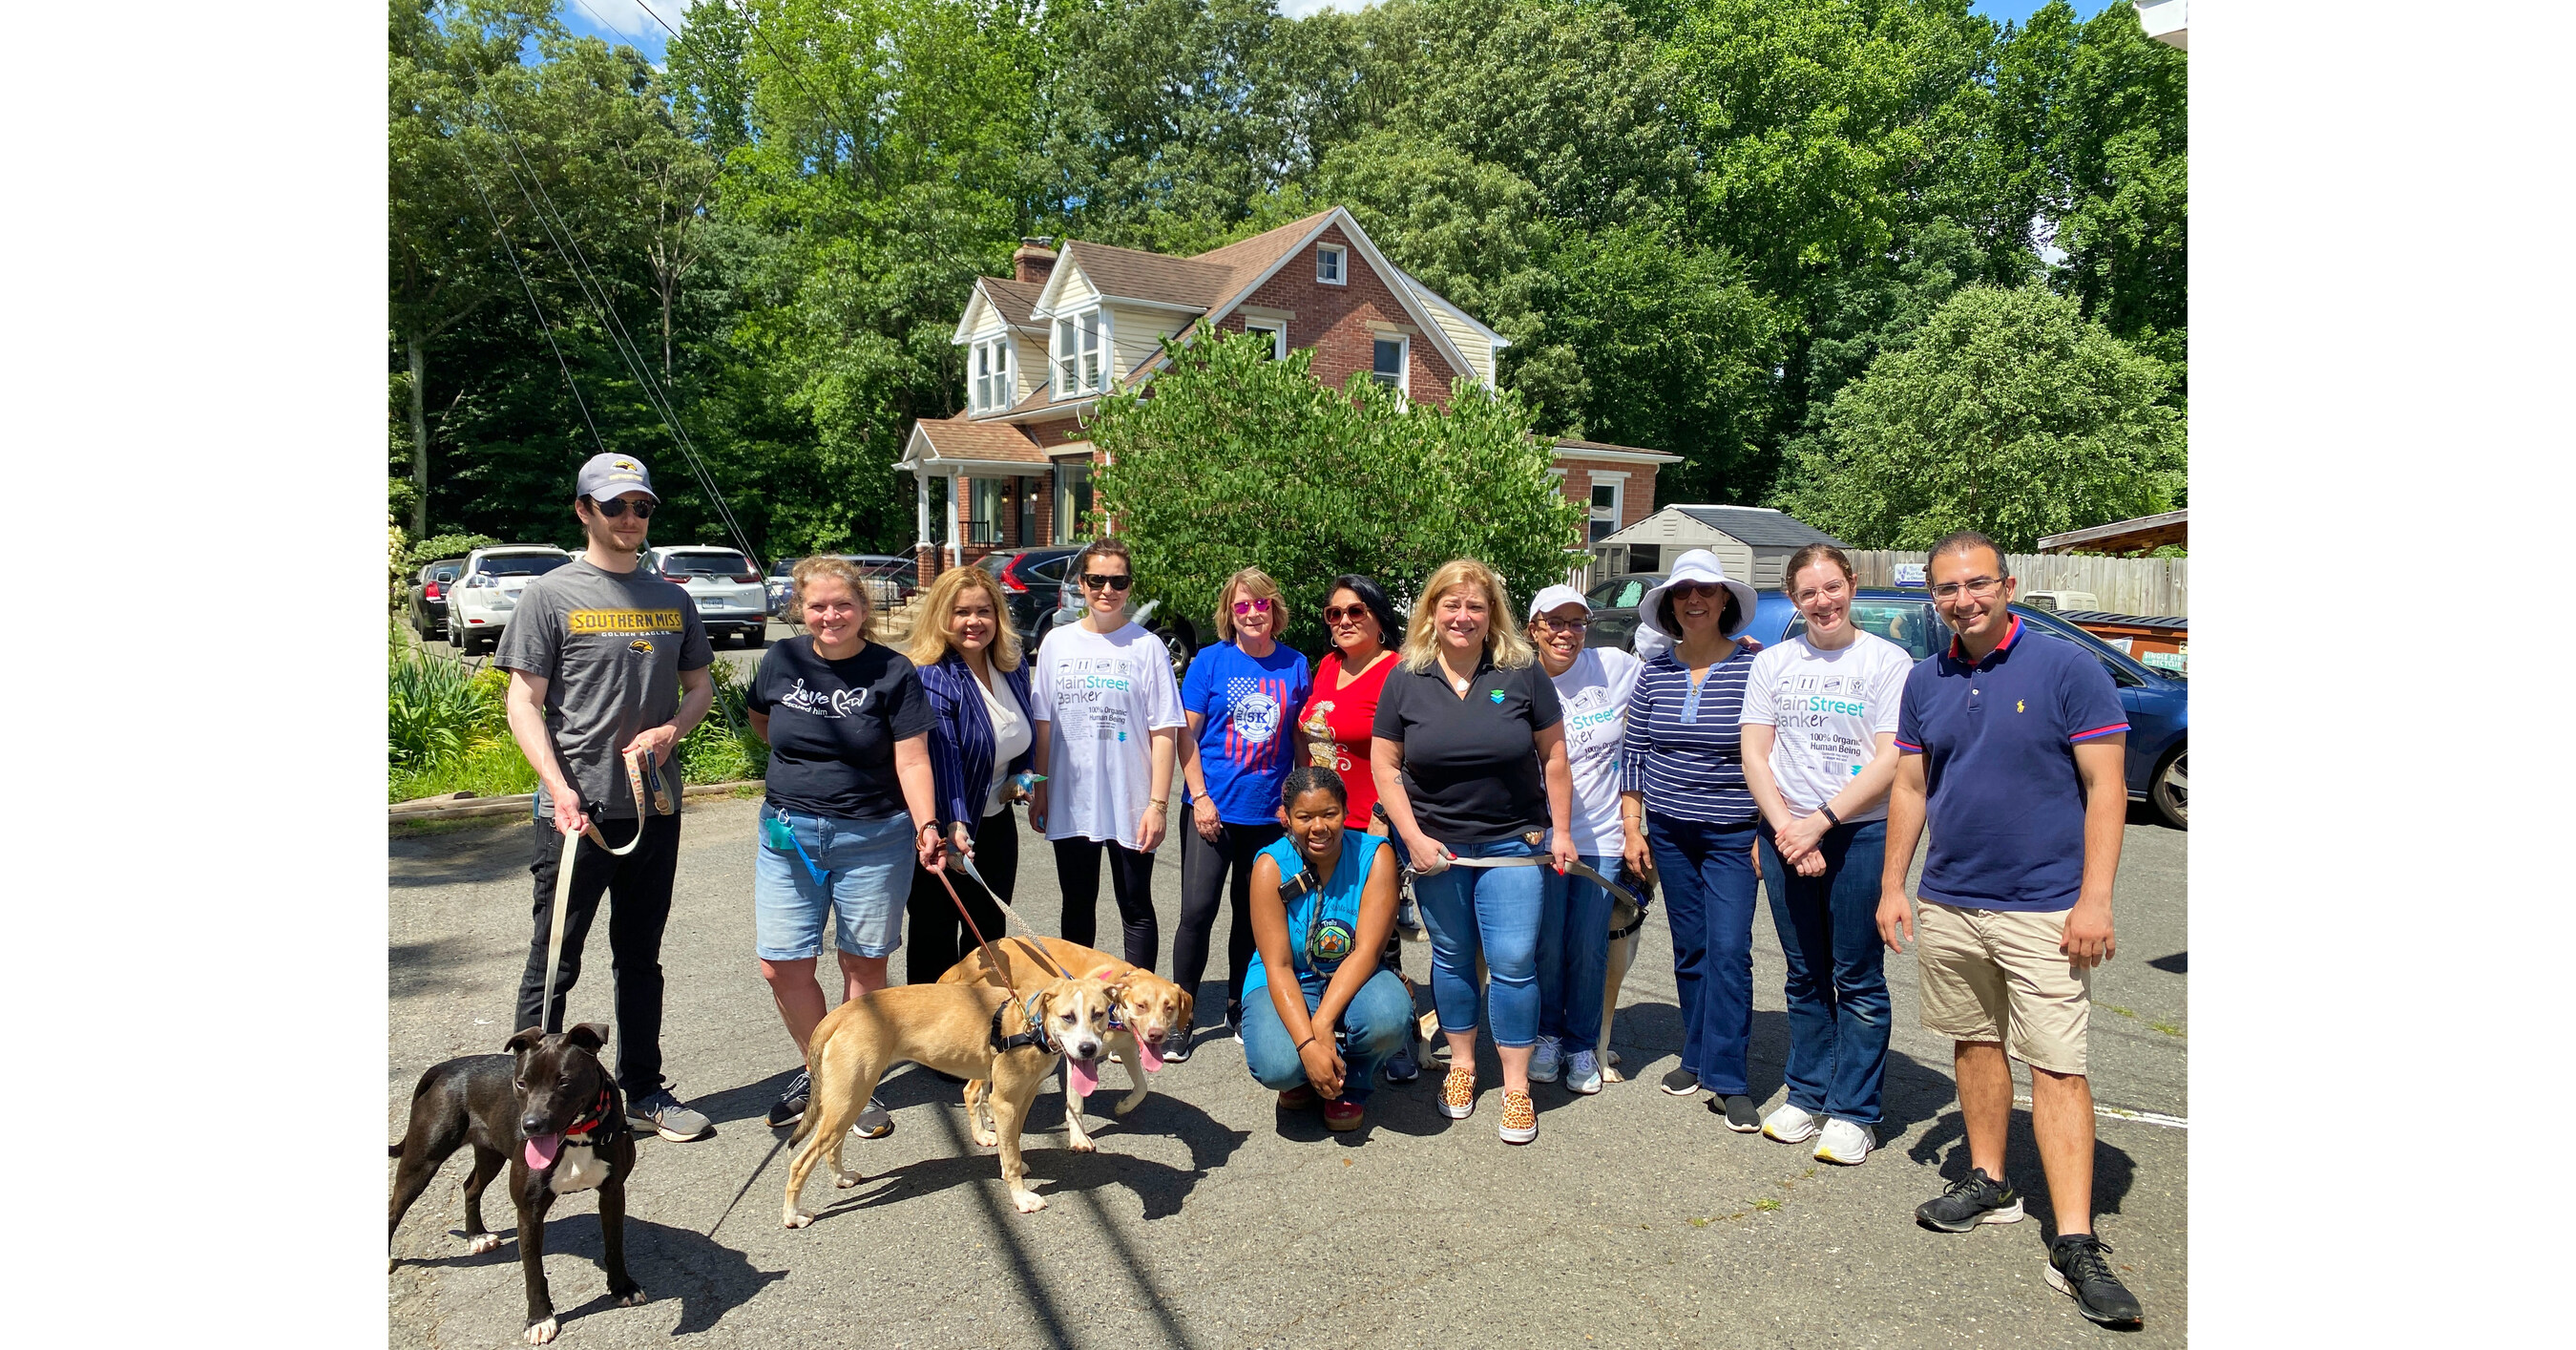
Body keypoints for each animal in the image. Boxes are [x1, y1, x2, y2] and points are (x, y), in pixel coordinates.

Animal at [396, 1024, 654, 1339]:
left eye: (564, 1082)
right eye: (521, 1083)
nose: (530, 1125)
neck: (577, 1134)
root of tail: (448, 1066)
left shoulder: (613, 1192)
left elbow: (615, 1246)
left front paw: (622, 1288)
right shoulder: (529, 1211)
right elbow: (533, 1271)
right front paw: (539, 1319)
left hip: (491, 1152)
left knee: (471, 1186)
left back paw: (476, 1235)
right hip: (421, 1162)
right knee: (394, 1207)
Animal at [778, 968, 1112, 1221]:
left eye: (1098, 1015)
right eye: (1068, 1017)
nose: (1088, 1049)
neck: (1031, 1025)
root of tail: (841, 1013)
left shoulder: (1024, 1097)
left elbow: (1013, 1142)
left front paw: (1009, 1164)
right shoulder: (1004, 1102)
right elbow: (1012, 1155)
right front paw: (1021, 1197)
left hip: (849, 1099)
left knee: (832, 1146)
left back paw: (841, 1178)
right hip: (849, 1098)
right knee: (800, 1162)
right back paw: (793, 1215)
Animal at [937, 938, 1195, 1149]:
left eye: (1169, 1007)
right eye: (1141, 1005)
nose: (1156, 1034)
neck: (1114, 1009)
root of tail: (969, 960)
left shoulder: (1128, 1046)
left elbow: (1142, 1087)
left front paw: (1124, 1105)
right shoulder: (1077, 1056)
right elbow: (1076, 1101)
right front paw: (1079, 1138)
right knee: (971, 1091)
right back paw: (981, 1133)